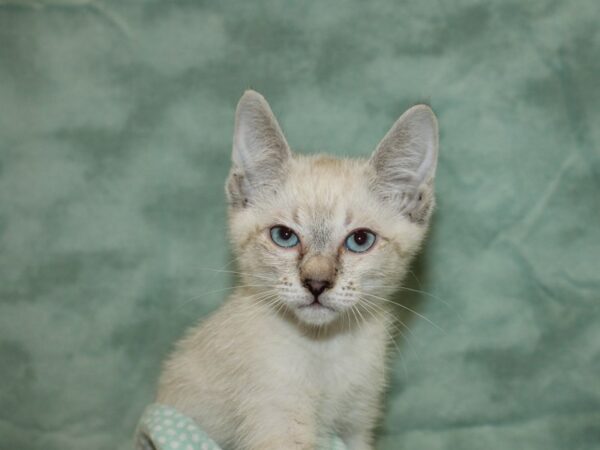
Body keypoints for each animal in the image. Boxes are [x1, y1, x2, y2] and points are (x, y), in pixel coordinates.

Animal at [155, 89, 438, 448]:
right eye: (284, 236)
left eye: (360, 240)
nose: (316, 283)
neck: (325, 348)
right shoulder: (276, 420)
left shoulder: (355, 427)